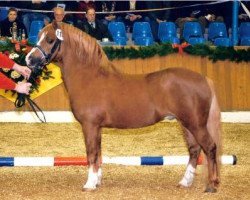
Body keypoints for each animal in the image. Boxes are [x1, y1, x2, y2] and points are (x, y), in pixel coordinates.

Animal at [24, 21, 221, 192]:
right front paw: (97, 181)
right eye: (39, 37)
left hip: (195, 124)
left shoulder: (89, 125)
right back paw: (185, 182)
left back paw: (211, 185)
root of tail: (204, 79)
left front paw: (89, 185)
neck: (89, 77)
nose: (29, 59)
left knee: (210, 147)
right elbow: (98, 154)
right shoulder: (97, 127)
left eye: (50, 39)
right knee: (194, 150)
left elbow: (91, 153)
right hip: (186, 124)